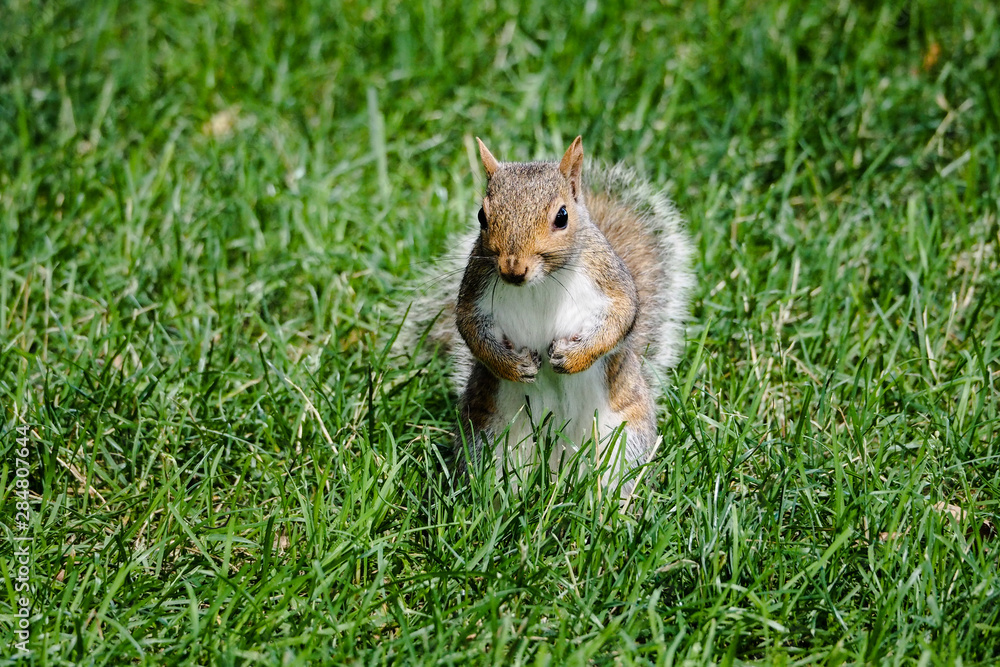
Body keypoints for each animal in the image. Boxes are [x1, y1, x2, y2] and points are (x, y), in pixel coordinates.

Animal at [404, 136, 692, 497]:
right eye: (482, 216)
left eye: (562, 216)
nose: (513, 270)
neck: (542, 282)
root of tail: (557, 467)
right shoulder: (475, 291)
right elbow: (471, 330)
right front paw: (514, 366)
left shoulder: (610, 281)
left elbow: (621, 319)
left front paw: (572, 358)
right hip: (488, 440)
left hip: (622, 442)